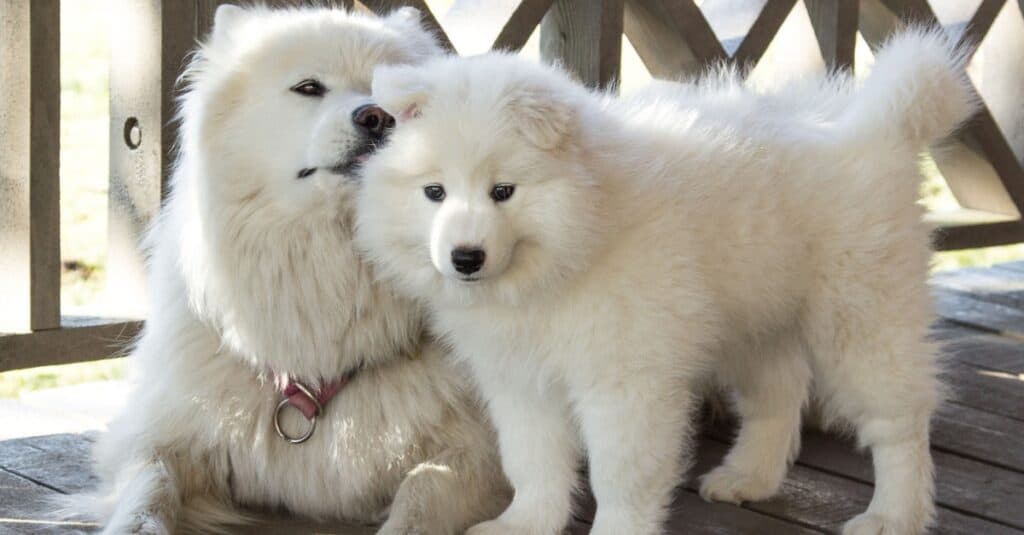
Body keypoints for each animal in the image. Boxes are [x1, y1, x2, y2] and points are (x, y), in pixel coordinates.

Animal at [68, 5, 507, 532]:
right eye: (309, 87)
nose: (376, 116)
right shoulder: (158, 436)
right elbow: (148, 490)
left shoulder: (478, 455)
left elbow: (421, 494)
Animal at [356, 29, 970, 532]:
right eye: (434, 192)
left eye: (503, 191)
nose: (465, 257)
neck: (572, 247)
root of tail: (874, 126)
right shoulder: (521, 379)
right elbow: (533, 461)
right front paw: (523, 524)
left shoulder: (628, 381)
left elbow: (619, 476)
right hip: (754, 317)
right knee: (778, 395)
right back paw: (748, 477)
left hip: (861, 316)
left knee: (899, 422)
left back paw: (894, 514)